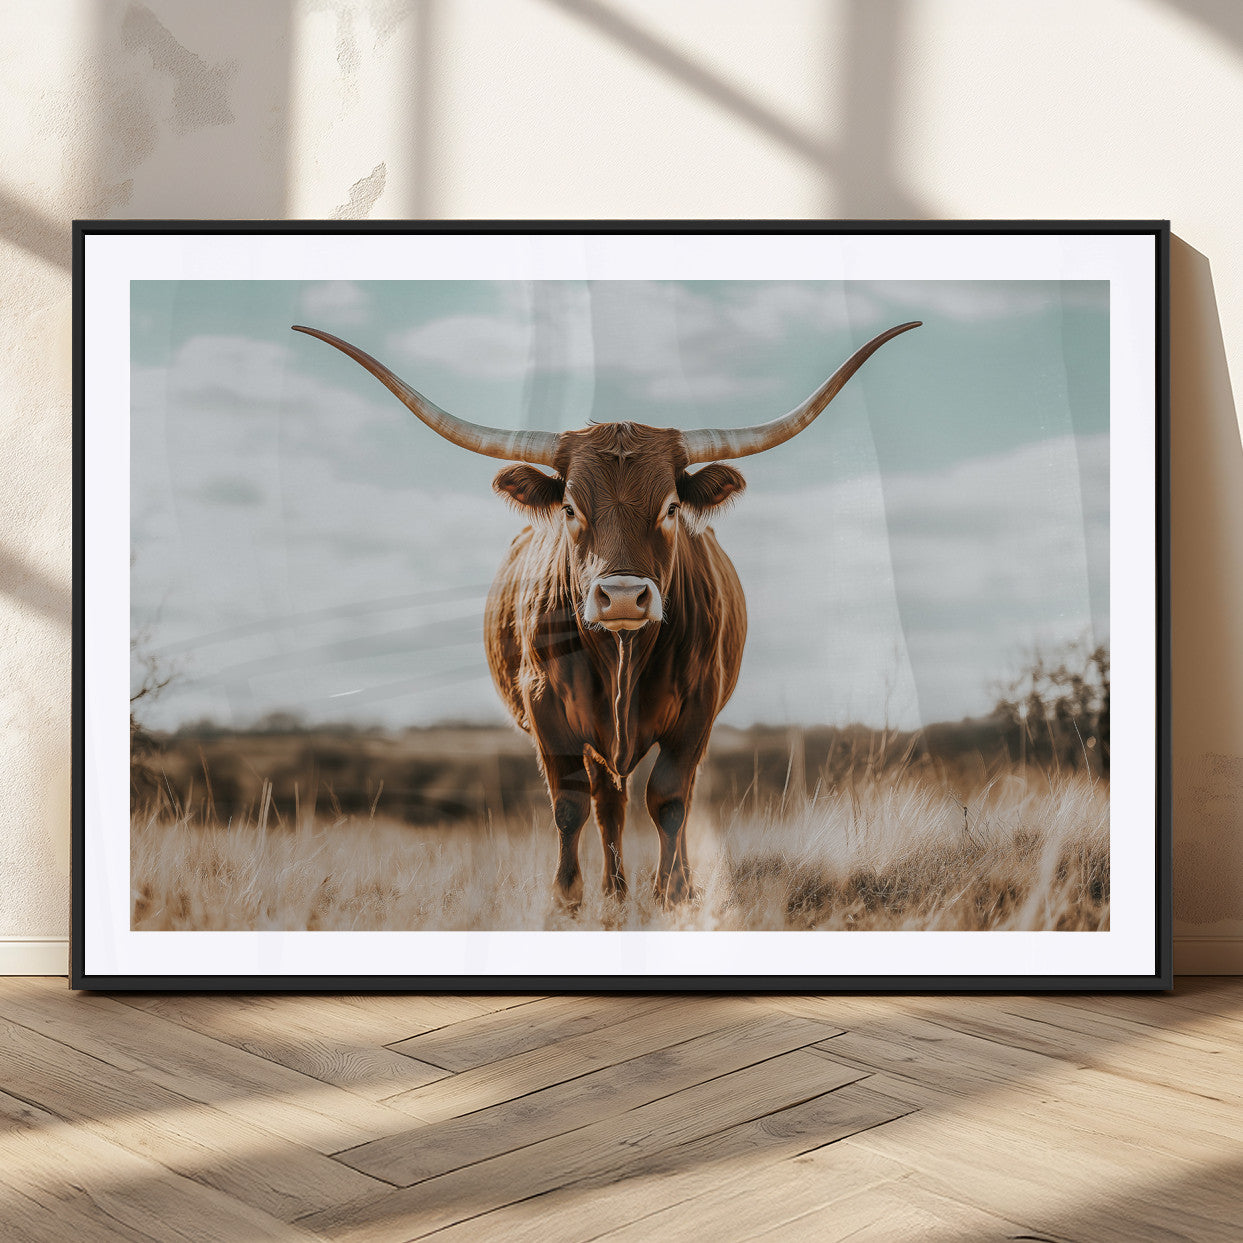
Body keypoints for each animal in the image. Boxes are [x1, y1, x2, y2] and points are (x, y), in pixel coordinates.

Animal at [292, 319, 920, 908]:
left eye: (671, 507)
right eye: (571, 507)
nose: (620, 597)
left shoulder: (698, 709)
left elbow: (669, 799)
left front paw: (672, 893)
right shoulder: (546, 706)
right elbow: (572, 804)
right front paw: (569, 897)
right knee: (607, 803)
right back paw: (614, 891)